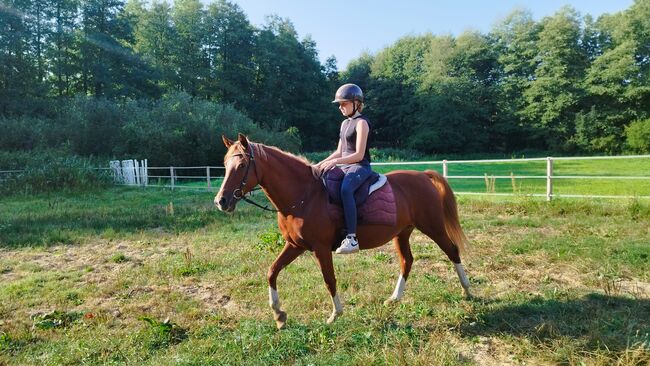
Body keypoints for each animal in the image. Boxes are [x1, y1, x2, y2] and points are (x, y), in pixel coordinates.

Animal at [215, 134, 468, 328]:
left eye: (242, 165)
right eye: (225, 165)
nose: (221, 201)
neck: (304, 195)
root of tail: (423, 175)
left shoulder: (320, 248)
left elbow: (329, 279)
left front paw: (335, 314)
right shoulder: (295, 245)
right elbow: (272, 271)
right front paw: (279, 315)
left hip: (433, 227)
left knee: (452, 251)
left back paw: (467, 290)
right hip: (402, 233)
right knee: (407, 261)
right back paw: (394, 299)